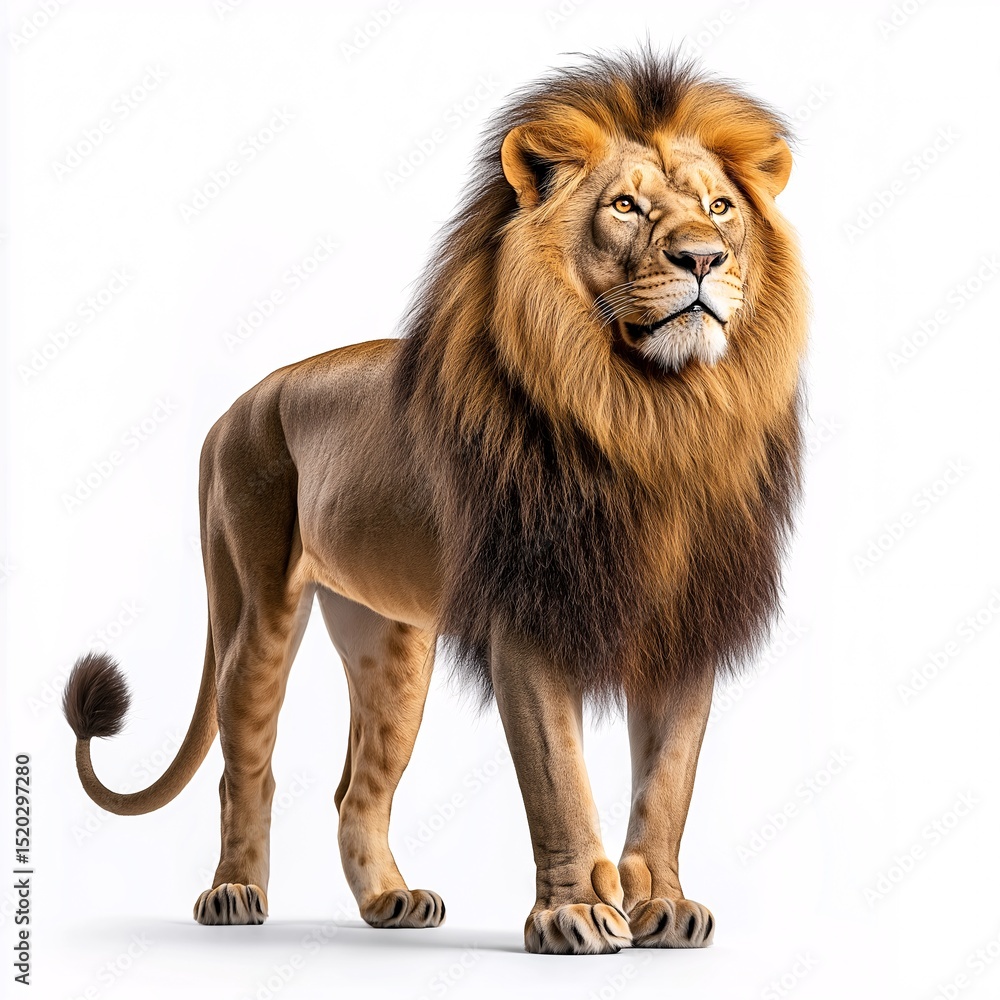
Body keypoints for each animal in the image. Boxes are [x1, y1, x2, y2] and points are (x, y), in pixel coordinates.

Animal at [64, 49, 806, 955]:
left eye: (720, 208)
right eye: (626, 206)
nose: (704, 258)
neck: (653, 415)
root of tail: (236, 405)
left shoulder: (687, 618)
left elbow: (667, 782)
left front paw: (663, 905)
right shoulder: (528, 613)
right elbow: (561, 780)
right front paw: (572, 913)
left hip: (393, 646)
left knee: (357, 789)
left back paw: (391, 901)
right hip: (253, 603)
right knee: (247, 768)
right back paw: (235, 892)